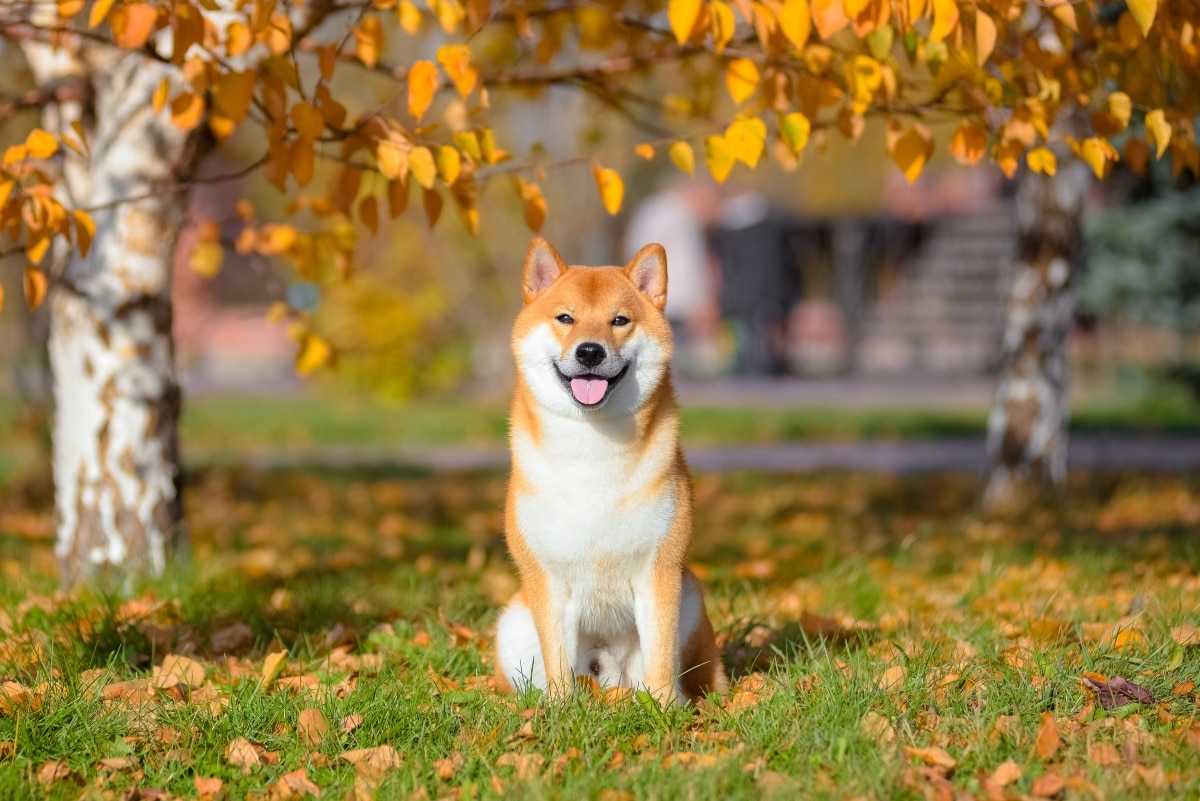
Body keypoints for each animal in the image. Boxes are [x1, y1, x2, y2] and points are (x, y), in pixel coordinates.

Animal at [493, 237, 728, 704]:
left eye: (619, 320)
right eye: (565, 318)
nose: (589, 350)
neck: (593, 453)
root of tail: (611, 676)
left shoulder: (659, 571)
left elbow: (660, 658)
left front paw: (662, 710)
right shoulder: (547, 579)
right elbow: (558, 663)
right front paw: (562, 709)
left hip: (691, 598)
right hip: (513, 625)